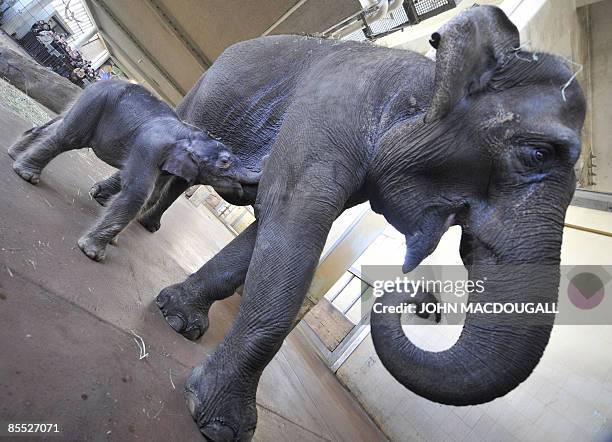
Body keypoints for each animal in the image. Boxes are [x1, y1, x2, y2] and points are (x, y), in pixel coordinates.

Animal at [8, 79, 260, 260]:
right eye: (225, 162)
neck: (189, 133)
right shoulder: (150, 147)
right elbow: (139, 193)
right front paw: (92, 253)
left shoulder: (167, 164)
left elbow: (154, 195)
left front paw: (112, 242)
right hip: (95, 102)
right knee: (68, 137)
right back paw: (26, 175)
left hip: (89, 101)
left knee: (56, 126)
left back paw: (14, 155)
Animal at [152, 5, 584, 440]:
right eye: (537, 154)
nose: (427, 302)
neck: (429, 73)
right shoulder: (327, 113)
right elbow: (293, 219)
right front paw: (222, 427)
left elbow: (277, 230)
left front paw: (179, 321)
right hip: (202, 94)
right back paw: (143, 221)